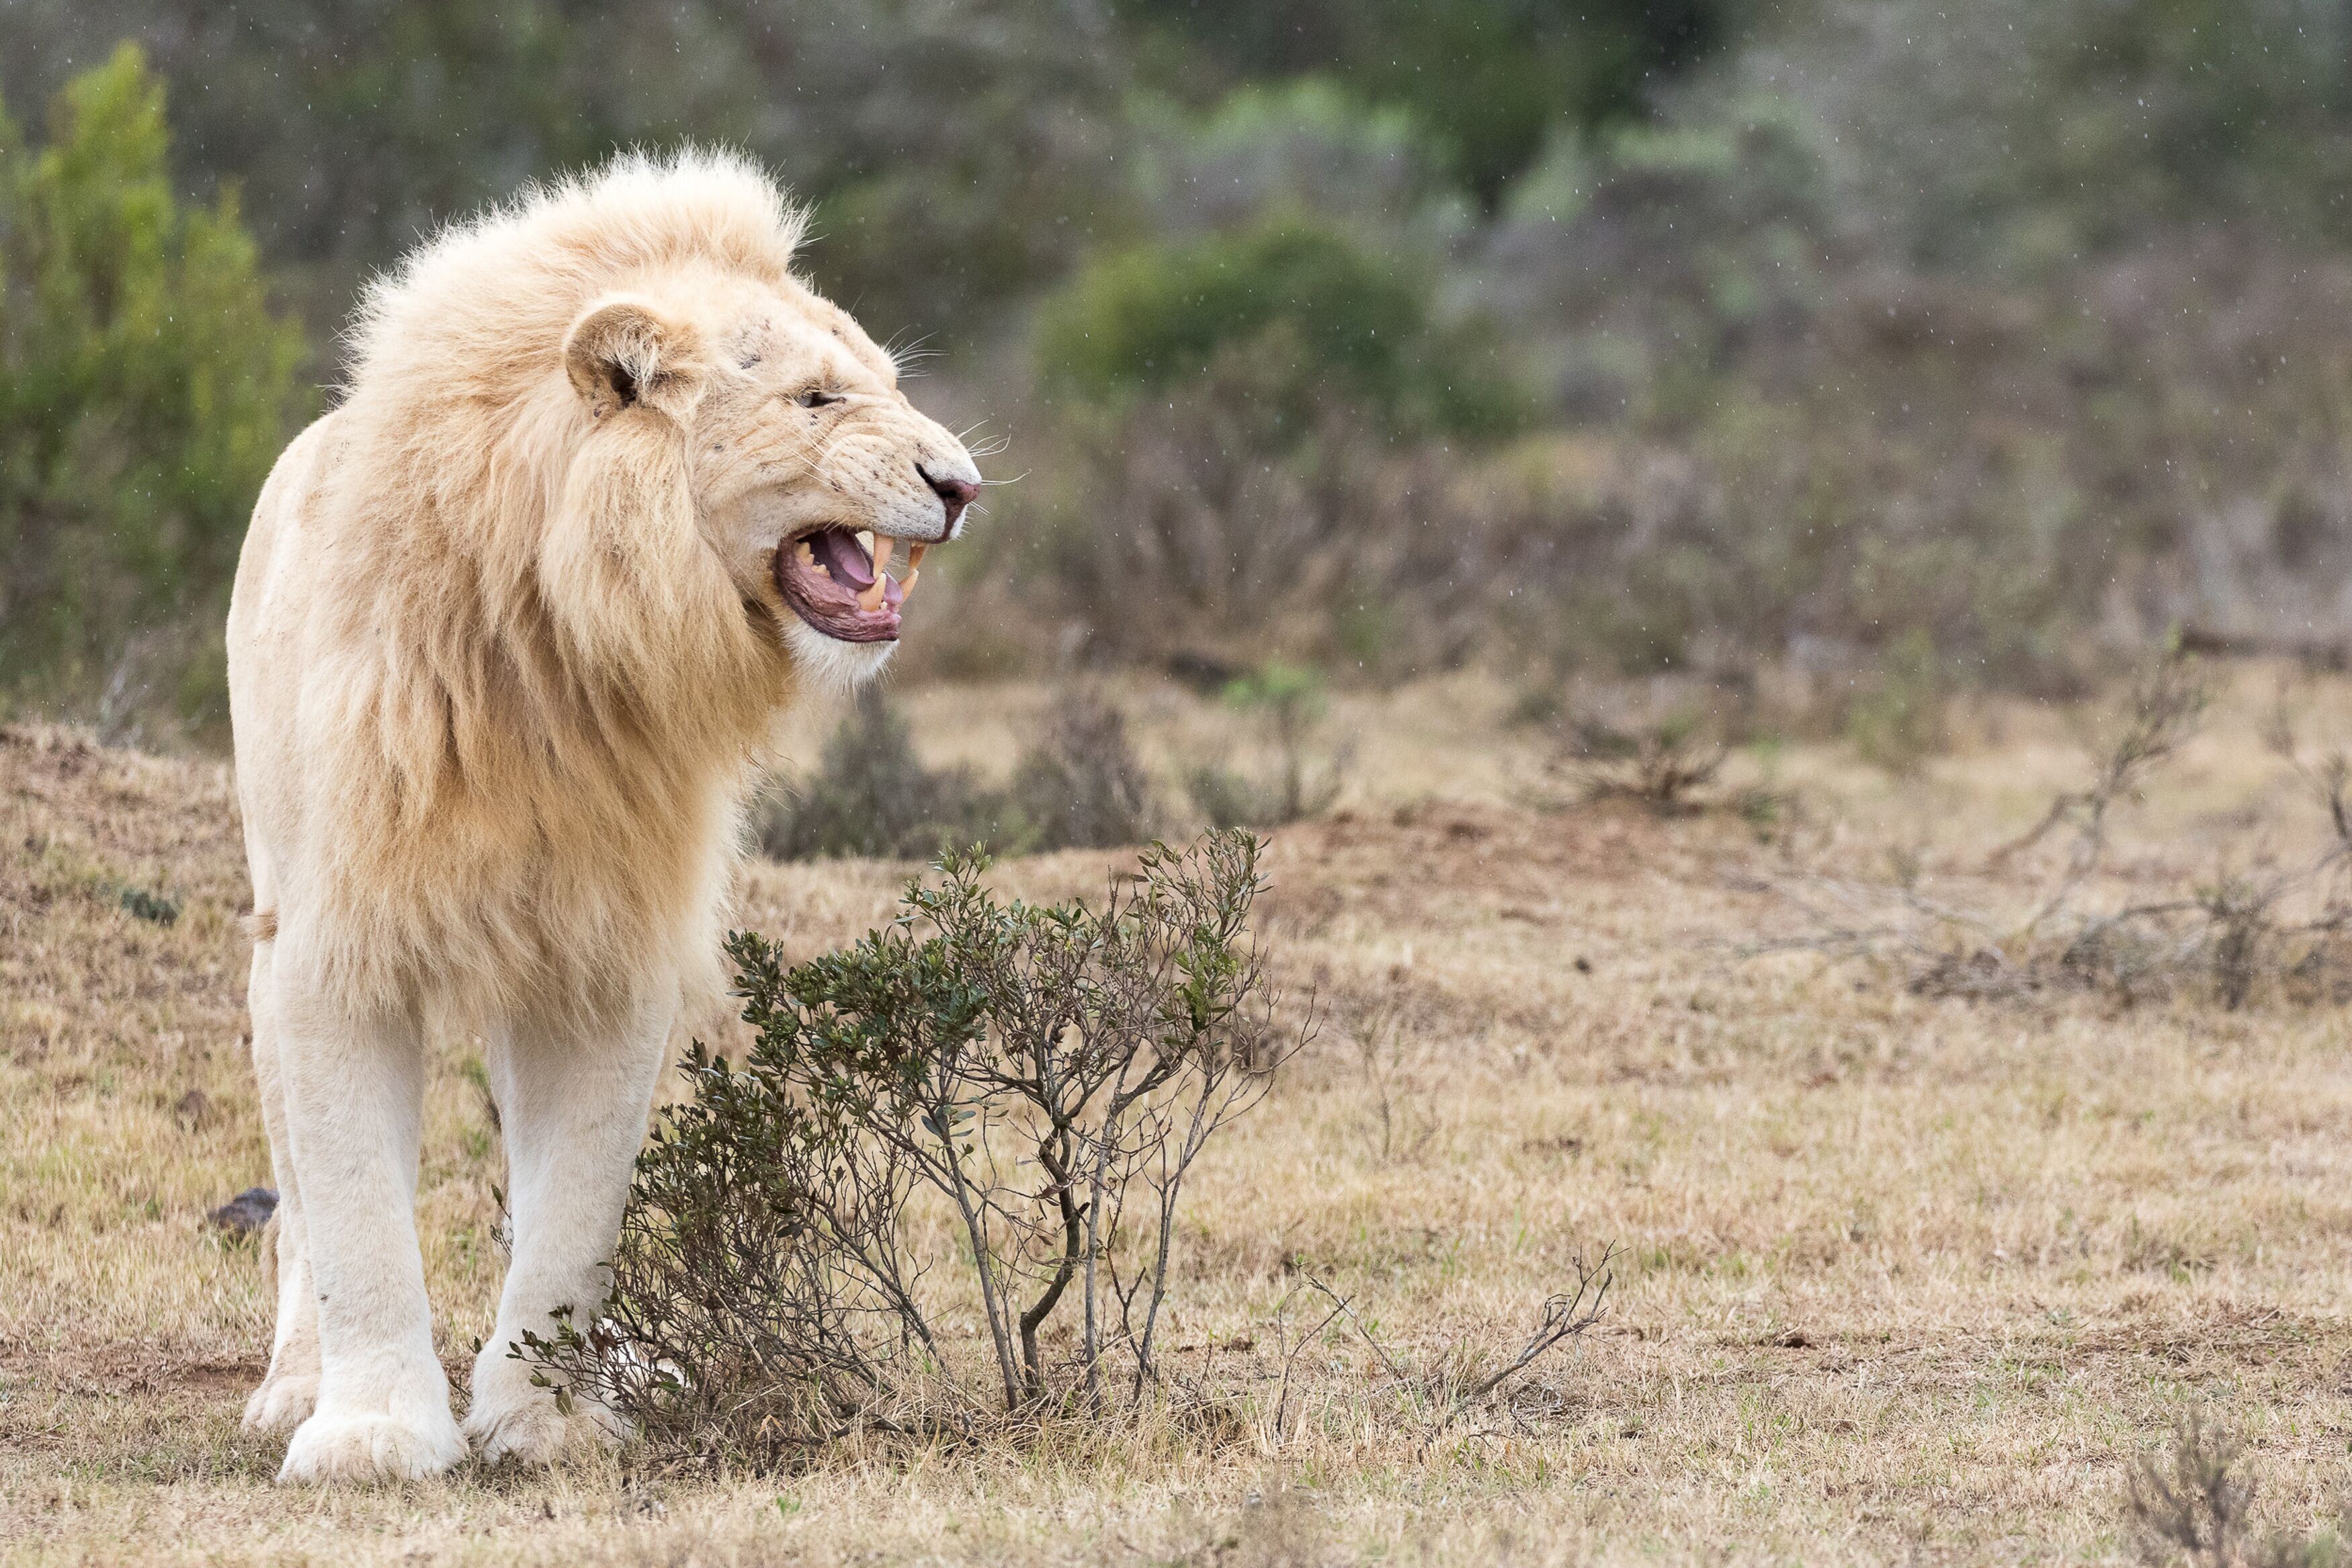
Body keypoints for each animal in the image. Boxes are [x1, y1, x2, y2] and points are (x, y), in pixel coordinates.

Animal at [225, 150, 982, 1483]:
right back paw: (294, 1386)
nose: (964, 485)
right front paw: (372, 1434)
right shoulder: (335, 942)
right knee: (299, 1204)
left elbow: (576, 1209)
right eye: (818, 398)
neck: (559, 656)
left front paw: (551, 1418)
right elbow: (358, 1207)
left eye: (888, 385)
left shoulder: (602, 940)